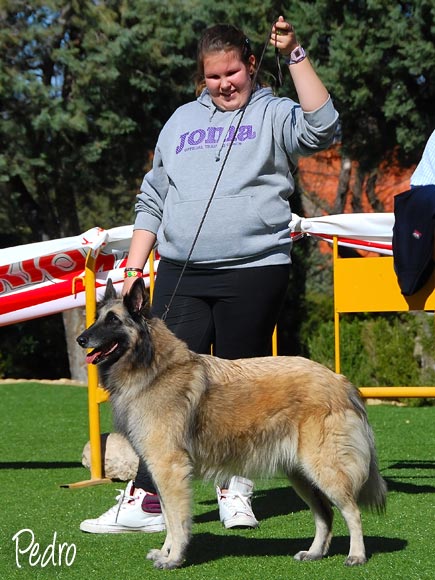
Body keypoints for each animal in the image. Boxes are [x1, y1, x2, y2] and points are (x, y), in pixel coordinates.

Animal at [77, 277, 387, 570]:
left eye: (113, 320)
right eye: (97, 317)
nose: (81, 339)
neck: (152, 368)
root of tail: (340, 381)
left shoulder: (169, 468)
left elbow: (177, 520)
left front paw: (174, 558)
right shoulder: (159, 471)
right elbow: (168, 516)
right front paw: (165, 552)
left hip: (323, 468)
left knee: (352, 511)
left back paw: (356, 555)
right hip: (300, 474)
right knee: (325, 513)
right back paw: (314, 552)